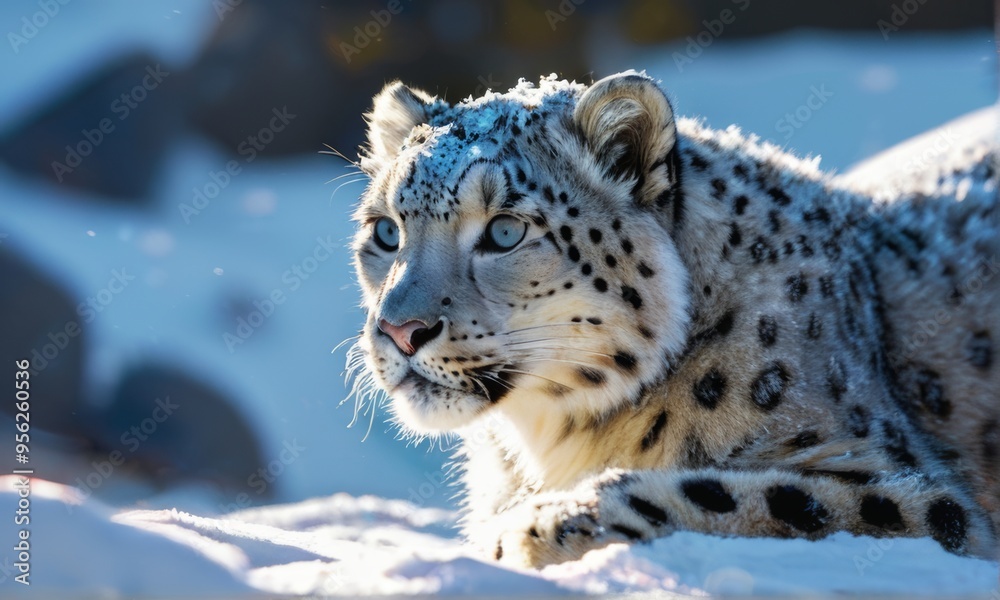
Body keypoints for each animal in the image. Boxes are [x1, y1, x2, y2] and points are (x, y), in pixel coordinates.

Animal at [346, 71, 999, 568]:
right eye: (386, 230)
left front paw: (540, 527)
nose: (399, 331)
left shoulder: (915, 492)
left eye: (506, 230)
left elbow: (753, 492)